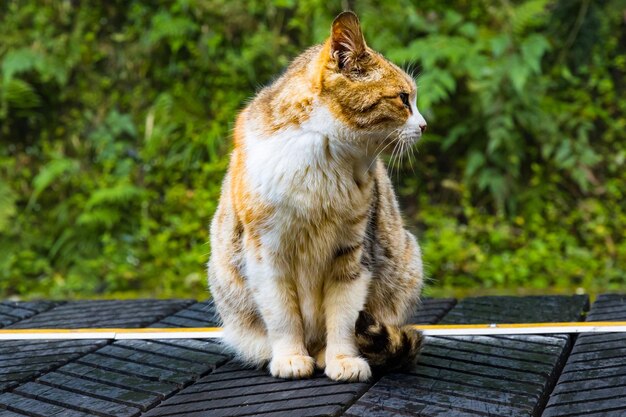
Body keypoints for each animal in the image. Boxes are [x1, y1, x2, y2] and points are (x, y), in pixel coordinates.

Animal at [208, 10, 424, 380]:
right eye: (403, 98)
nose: (424, 125)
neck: (323, 155)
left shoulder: (352, 251)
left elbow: (344, 315)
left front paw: (342, 359)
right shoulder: (266, 253)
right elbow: (282, 315)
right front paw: (290, 358)